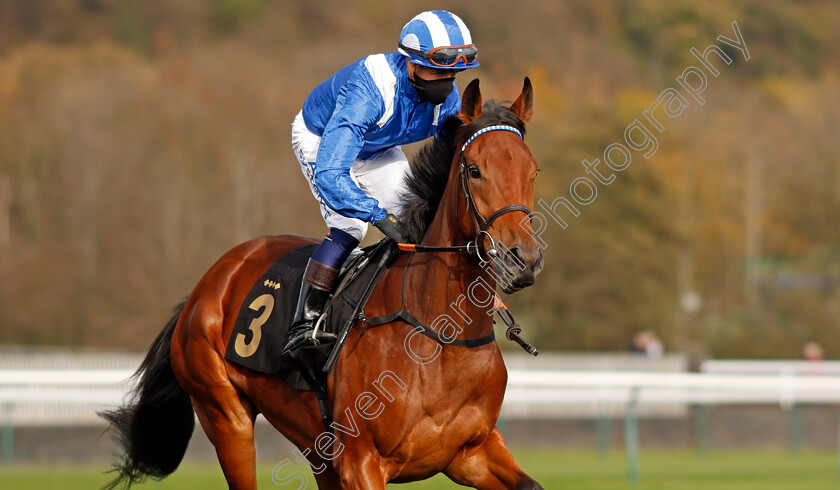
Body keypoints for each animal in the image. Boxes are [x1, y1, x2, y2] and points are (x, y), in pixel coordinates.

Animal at [103, 77, 544, 490]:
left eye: (532, 170)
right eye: (475, 170)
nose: (522, 259)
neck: (440, 335)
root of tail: (209, 282)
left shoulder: (472, 452)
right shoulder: (361, 462)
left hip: (316, 447)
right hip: (225, 416)